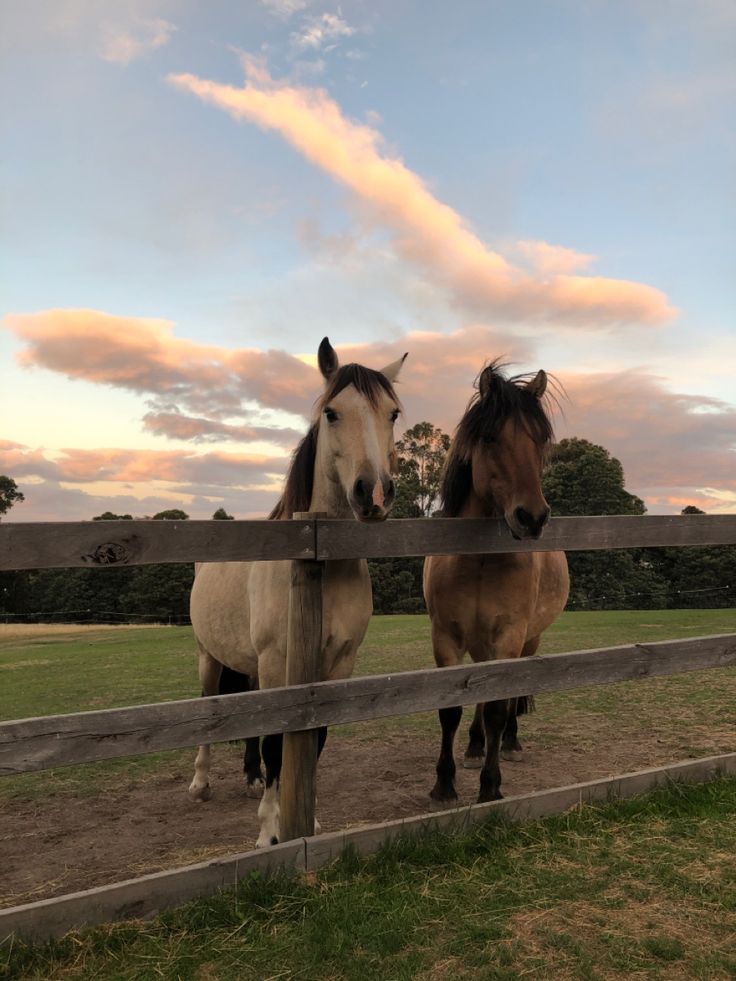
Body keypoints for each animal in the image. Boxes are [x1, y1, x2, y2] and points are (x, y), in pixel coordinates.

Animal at [188, 334, 408, 844]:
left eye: (392, 413)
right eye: (332, 412)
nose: (374, 494)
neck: (319, 559)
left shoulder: (338, 661)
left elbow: (313, 737)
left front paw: (307, 818)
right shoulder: (278, 661)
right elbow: (276, 741)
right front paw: (271, 831)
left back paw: (250, 777)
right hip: (211, 656)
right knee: (209, 706)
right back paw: (201, 783)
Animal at [420, 360, 568, 804]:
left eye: (541, 439)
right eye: (488, 437)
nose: (532, 518)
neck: (480, 558)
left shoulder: (510, 634)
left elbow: (500, 708)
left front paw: (490, 787)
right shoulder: (447, 635)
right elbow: (452, 708)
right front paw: (445, 783)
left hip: (527, 639)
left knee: (508, 697)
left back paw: (510, 744)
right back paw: (474, 746)